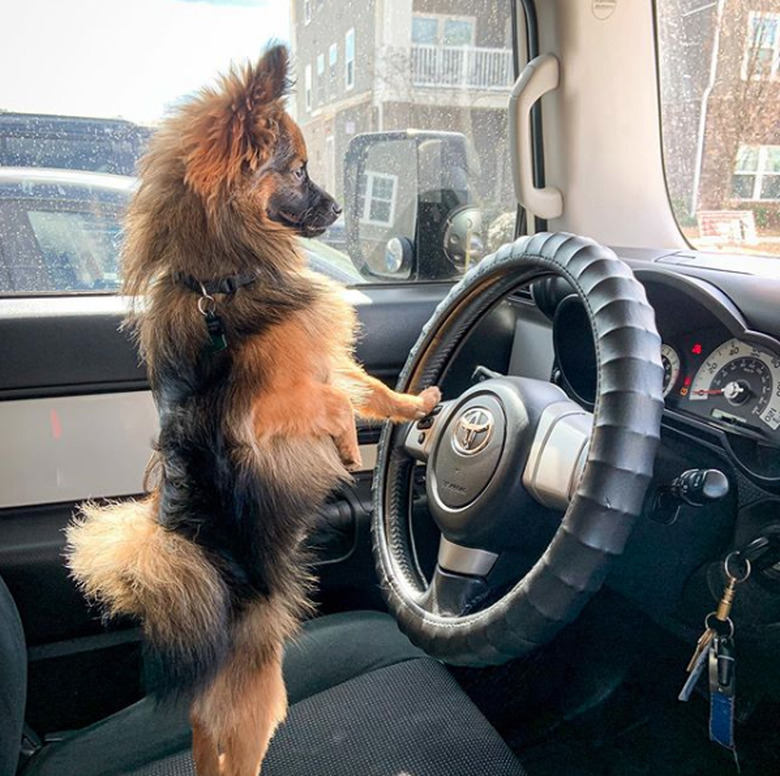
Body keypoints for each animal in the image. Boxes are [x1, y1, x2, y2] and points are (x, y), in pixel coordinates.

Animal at [64, 44, 442, 776]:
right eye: (297, 171)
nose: (339, 206)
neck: (222, 282)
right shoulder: (266, 415)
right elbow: (332, 403)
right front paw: (348, 449)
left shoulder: (325, 356)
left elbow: (370, 391)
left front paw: (420, 400)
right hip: (260, 697)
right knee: (231, 755)